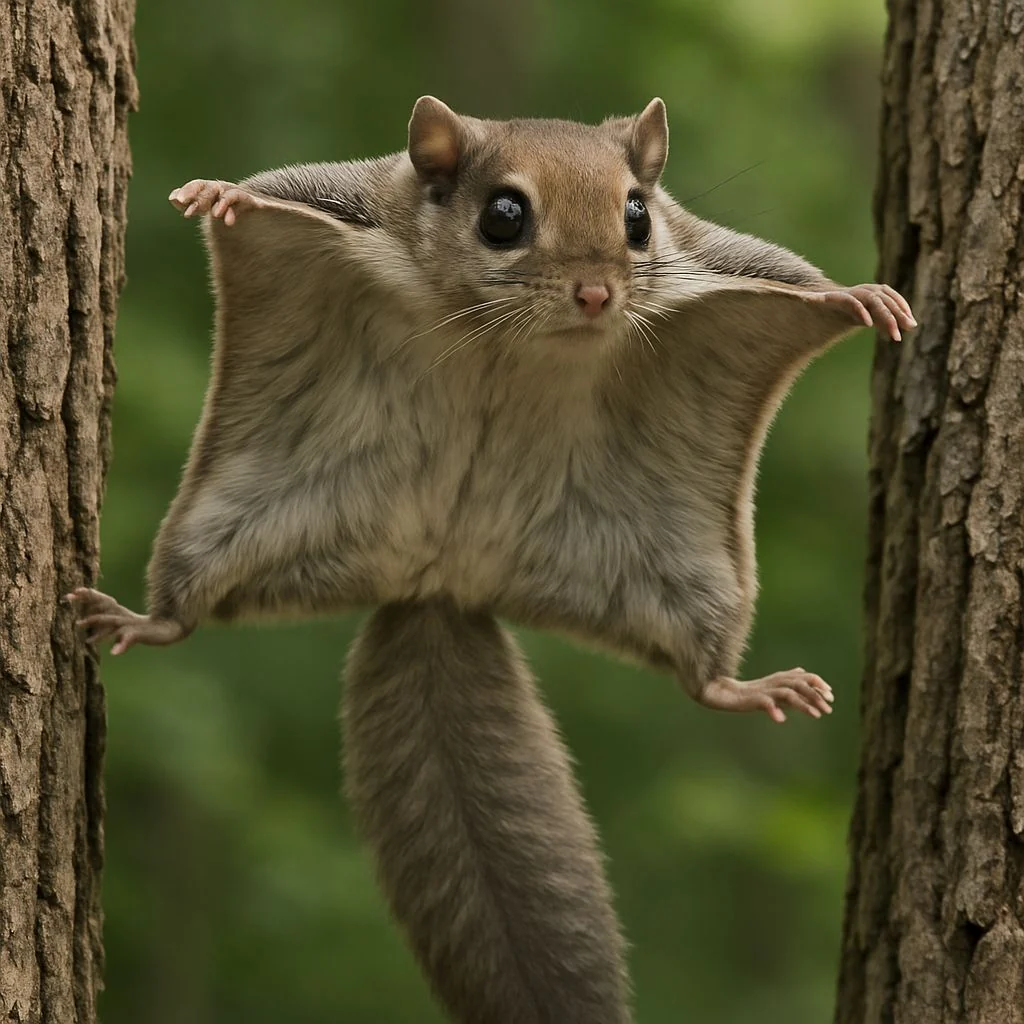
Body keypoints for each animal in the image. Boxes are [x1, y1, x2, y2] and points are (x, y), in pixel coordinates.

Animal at [68, 96, 915, 1024]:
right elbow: (282, 189)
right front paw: (221, 192)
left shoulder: (708, 257)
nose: (596, 292)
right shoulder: (362, 201)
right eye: (503, 217)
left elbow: (786, 273)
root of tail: (441, 579)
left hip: (682, 571)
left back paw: (745, 684)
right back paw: (143, 617)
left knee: (702, 678)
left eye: (638, 215)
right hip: (235, 517)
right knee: (182, 612)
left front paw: (860, 293)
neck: (507, 336)